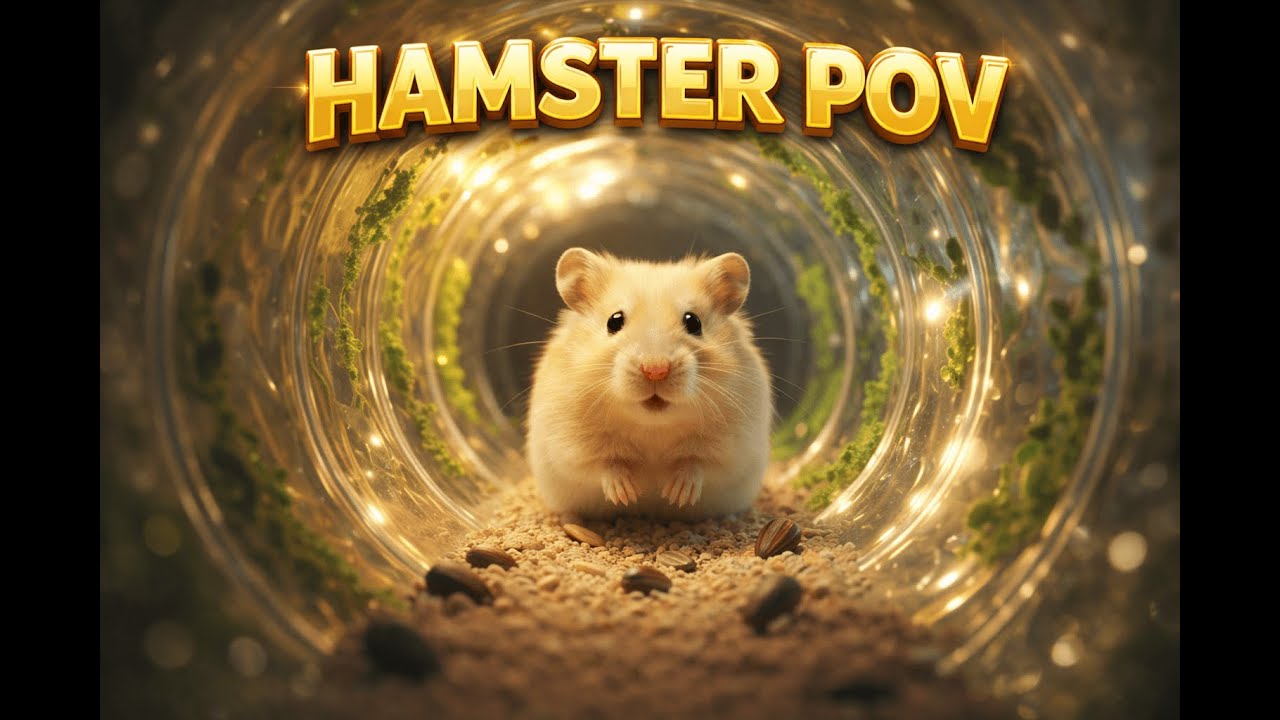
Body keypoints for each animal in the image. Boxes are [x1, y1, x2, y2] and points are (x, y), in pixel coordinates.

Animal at [526, 248, 773, 520]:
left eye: (694, 322)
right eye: (614, 321)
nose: (656, 370)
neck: (652, 426)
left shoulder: (732, 448)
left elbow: (697, 463)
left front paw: (675, 495)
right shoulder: (571, 445)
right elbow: (605, 463)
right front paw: (628, 494)